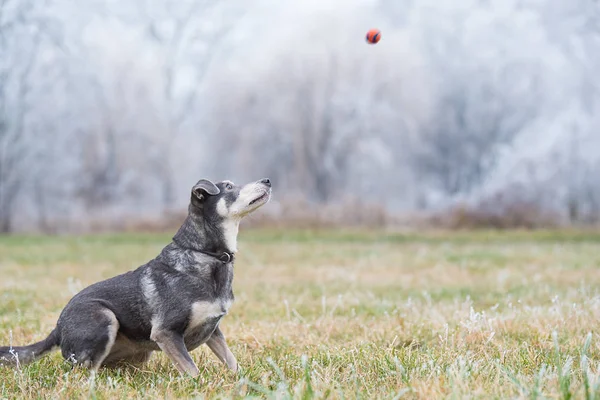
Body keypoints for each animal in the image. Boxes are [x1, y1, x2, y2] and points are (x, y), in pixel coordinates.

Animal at [0, 177, 272, 376]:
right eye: (229, 187)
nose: (267, 180)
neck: (206, 254)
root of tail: (57, 329)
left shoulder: (213, 331)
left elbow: (231, 361)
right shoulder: (166, 333)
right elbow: (192, 370)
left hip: (138, 353)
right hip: (104, 318)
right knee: (82, 372)